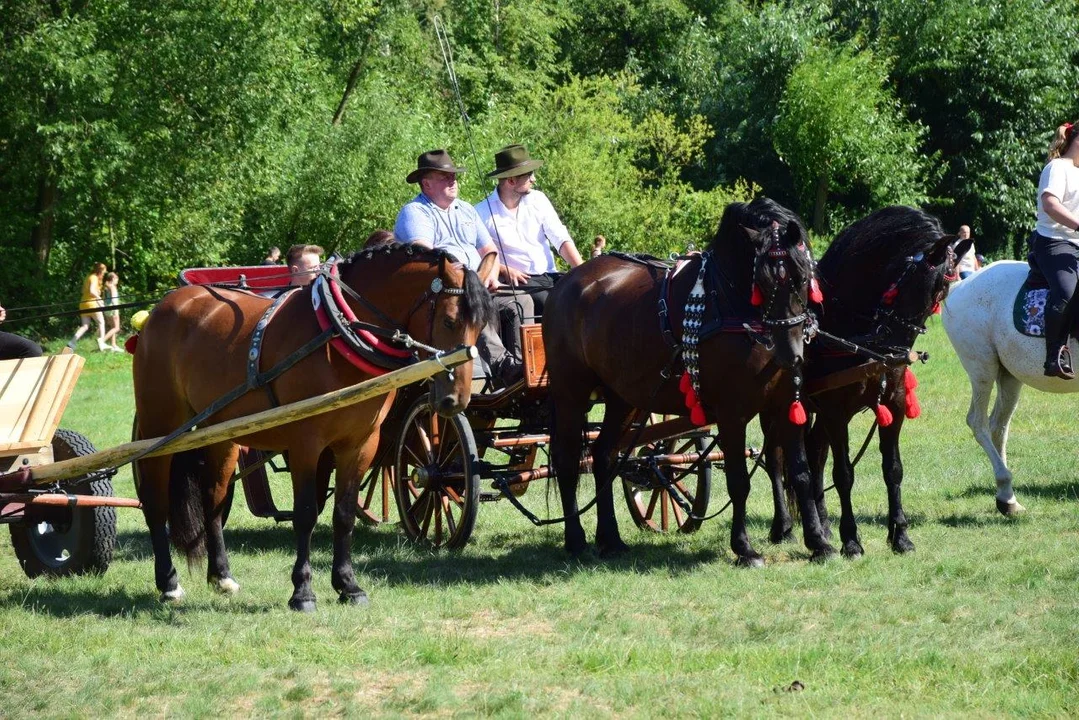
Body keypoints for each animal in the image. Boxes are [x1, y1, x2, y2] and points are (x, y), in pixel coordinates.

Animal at [131, 245, 496, 613]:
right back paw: (169, 582)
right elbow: (306, 513)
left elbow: (344, 514)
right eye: (449, 320)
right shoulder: (306, 443)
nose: (456, 399)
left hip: (220, 434)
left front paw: (349, 586)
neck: (339, 336)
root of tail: (164, 306)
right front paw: (303, 591)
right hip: (160, 426)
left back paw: (222, 577)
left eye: (481, 324)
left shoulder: (360, 444)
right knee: (155, 502)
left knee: (214, 501)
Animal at [539, 197, 832, 561]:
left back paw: (611, 539)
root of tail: (566, 283)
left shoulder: (785, 403)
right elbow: (739, 481)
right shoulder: (731, 411)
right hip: (570, 392)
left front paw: (819, 542)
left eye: (802, 277)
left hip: (622, 398)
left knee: (603, 456)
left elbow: (802, 474)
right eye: (761, 283)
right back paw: (576, 540)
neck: (729, 302)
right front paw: (745, 548)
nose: (789, 353)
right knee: (567, 459)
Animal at [763, 208, 966, 557]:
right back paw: (784, 527)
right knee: (776, 460)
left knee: (814, 453)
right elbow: (844, 473)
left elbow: (893, 469)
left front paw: (900, 536)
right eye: (915, 285)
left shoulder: (893, 405)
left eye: (939, 294)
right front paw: (851, 540)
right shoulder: (835, 412)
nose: (896, 353)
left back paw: (822, 525)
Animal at [940, 262, 1074, 515]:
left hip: (1009, 377)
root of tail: (960, 285)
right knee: (978, 422)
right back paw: (1006, 491)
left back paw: (1006, 497)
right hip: (982, 370)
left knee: (998, 427)